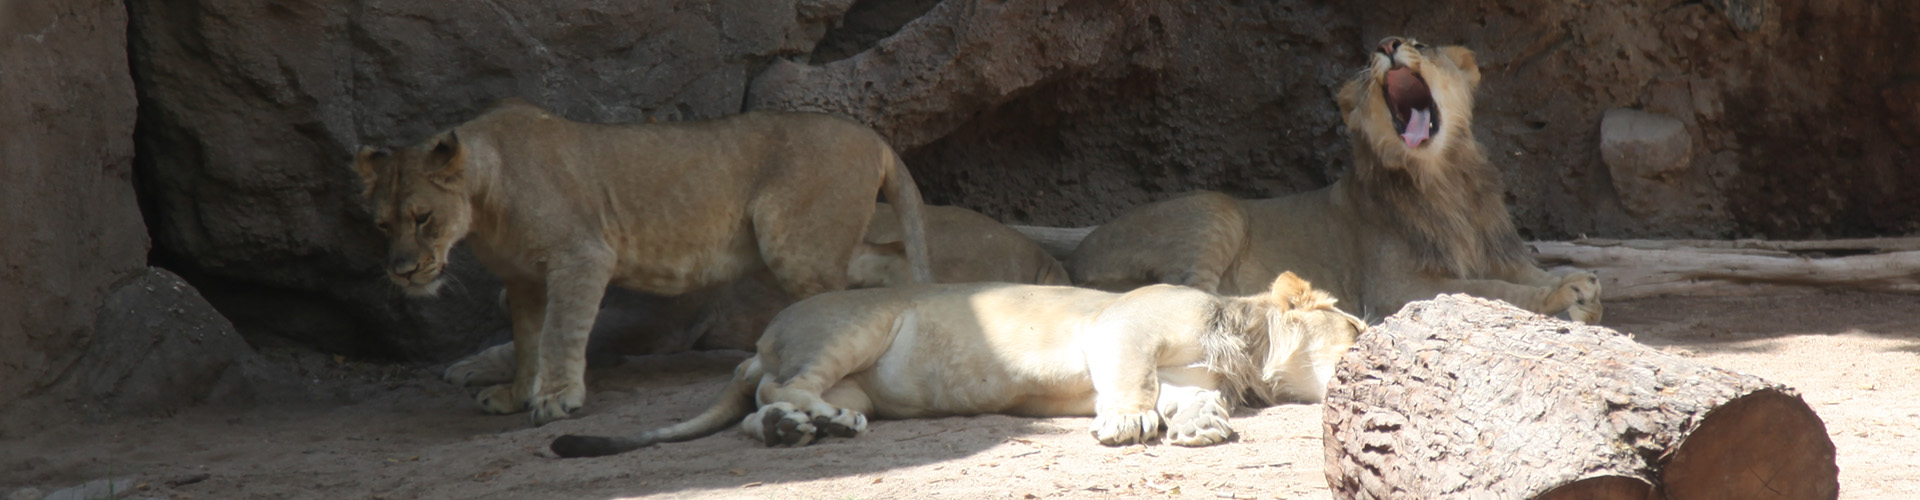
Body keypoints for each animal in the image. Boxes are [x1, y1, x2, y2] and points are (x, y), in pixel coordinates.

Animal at [359, 98, 936, 425]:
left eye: (423, 217)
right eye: (383, 225)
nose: (401, 270)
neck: (484, 199)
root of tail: (872, 135)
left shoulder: (582, 257)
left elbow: (559, 334)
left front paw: (557, 400)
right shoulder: (523, 280)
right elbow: (527, 340)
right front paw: (517, 393)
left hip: (792, 243)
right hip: (808, 246)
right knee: (888, 259)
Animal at [1075, 37, 1597, 323]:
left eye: (1419, 44)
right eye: (1371, 56)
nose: (1387, 45)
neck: (1445, 179)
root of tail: (1079, 255)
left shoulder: (1498, 254)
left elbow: (1526, 273)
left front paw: (1580, 283)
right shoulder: (1397, 288)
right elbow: (1490, 290)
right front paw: (1562, 295)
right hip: (1217, 208)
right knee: (1198, 292)